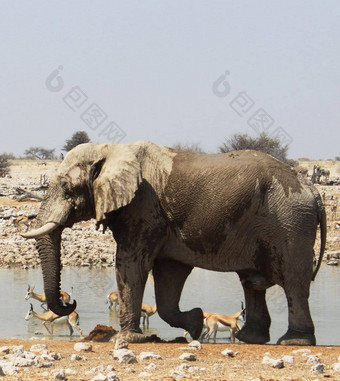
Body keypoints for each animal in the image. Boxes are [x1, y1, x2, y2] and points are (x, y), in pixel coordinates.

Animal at [23, 142, 326, 344]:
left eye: (66, 187)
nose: (71, 302)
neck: (110, 149)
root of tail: (311, 189)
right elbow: (168, 278)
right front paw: (195, 322)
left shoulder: (144, 205)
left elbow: (131, 265)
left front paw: (127, 340)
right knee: (251, 282)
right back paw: (251, 339)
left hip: (290, 221)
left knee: (293, 280)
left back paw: (293, 342)